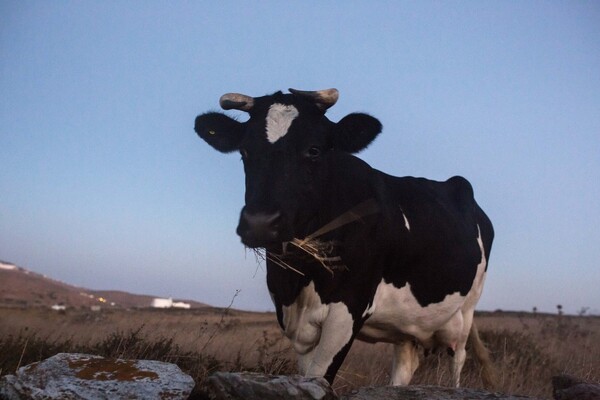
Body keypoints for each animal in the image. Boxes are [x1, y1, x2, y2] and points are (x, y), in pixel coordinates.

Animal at [195, 88, 494, 388]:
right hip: (409, 326)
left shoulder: (349, 307)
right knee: (405, 363)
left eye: (314, 150)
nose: (260, 223)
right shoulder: (291, 316)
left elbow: (319, 376)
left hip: (465, 313)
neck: (301, 276)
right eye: (245, 151)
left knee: (457, 361)